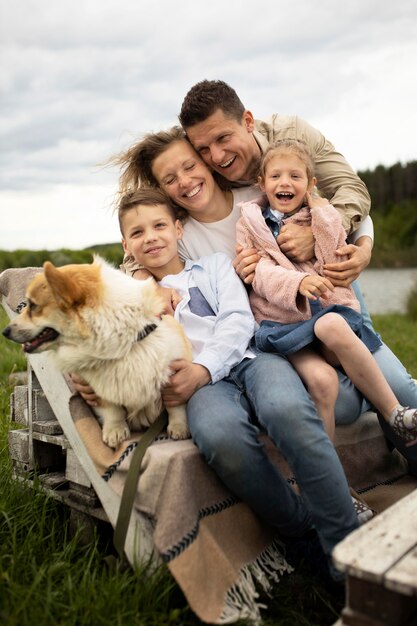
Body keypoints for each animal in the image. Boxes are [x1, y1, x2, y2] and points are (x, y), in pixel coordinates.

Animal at [2, 256, 192, 446]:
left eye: (33, 306)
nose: (5, 332)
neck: (126, 344)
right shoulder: (100, 390)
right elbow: (112, 410)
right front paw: (115, 431)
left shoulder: (174, 374)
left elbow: (175, 406)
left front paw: (179, 428)